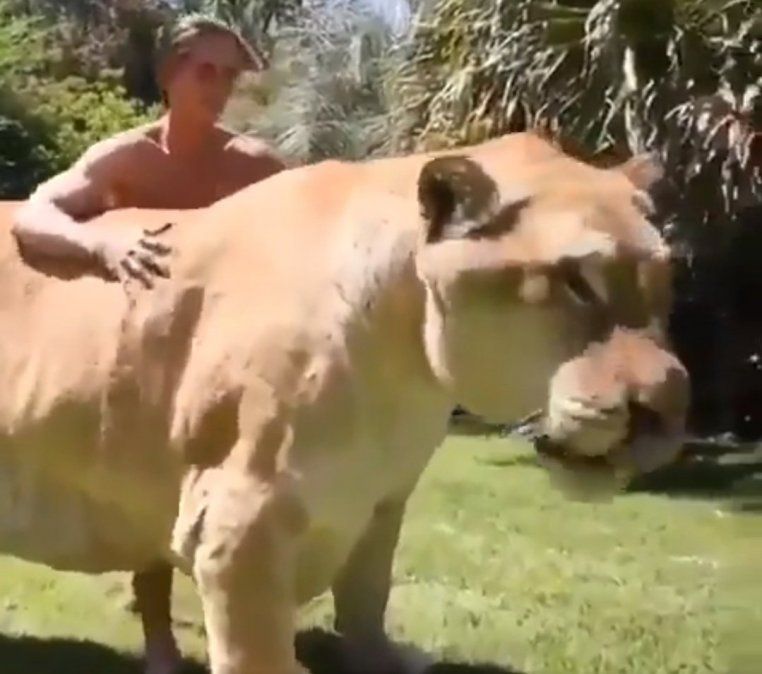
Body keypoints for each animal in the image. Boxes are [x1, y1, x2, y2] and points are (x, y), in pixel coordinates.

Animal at [0, 131, 689, 674]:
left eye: (663, 278)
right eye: (577, 281)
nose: (666, 412)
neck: (411, 370)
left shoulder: (382, 502)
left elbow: (366, 601)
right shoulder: (239, 524)